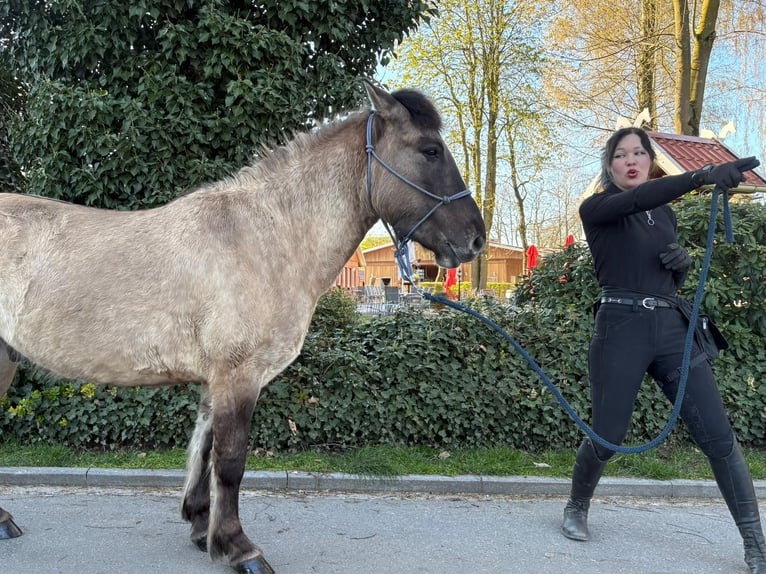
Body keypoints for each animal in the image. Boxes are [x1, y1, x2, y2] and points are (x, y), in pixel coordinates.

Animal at [0, 80, 486, 573]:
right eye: (430, 150)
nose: (475, 239)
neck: (263, 238)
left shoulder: (217, 379)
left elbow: (204, 450)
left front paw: (202, 529)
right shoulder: (238, 376)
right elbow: (230, 462)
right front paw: (238, 547)